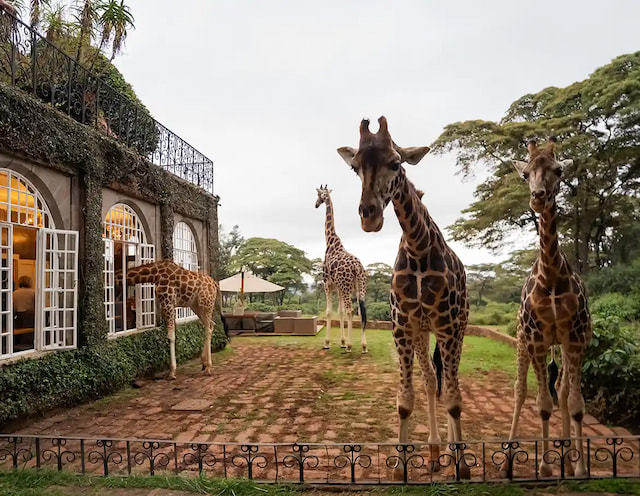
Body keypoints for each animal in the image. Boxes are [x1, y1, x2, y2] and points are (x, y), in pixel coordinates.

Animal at [315, 185, 368, 353]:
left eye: (319, 195)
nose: (316, 204)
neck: (330, 242)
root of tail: (357, 267)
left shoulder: (327, 283)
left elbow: (329, 312)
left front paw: (327, 343)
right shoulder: (338, 287)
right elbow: (341, 311)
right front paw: (342, 342)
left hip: (347, 286)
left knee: (352, 311)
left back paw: (351, 345)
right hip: (359, 286)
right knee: (362, 311)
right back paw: (363, 345)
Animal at [337, 117, 469, 474]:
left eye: (396, 163)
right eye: (354, 167)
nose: (369, 217)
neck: (418, 246)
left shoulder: (447, 326)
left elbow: (455, 400)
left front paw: (463, 467)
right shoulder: (403, 326)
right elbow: (406, 401)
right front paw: (399, 466)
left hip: (458, 328)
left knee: (450, 382)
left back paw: (452, 451)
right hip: (424, 332)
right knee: (432, 380)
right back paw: (436, 452)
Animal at [504, 138, 592, 477]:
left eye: (559, 170)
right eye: (525, 173)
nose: (538, 198)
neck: (551, 275)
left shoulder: (575, 338)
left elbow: (575, 403)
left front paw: (579, 467)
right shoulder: (537, 339)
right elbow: (541, 404)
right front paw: (544, 466)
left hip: (564, 344)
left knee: (563, 391)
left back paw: (567, 452)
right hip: (522, 341)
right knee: (520, 390)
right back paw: (509, 457)